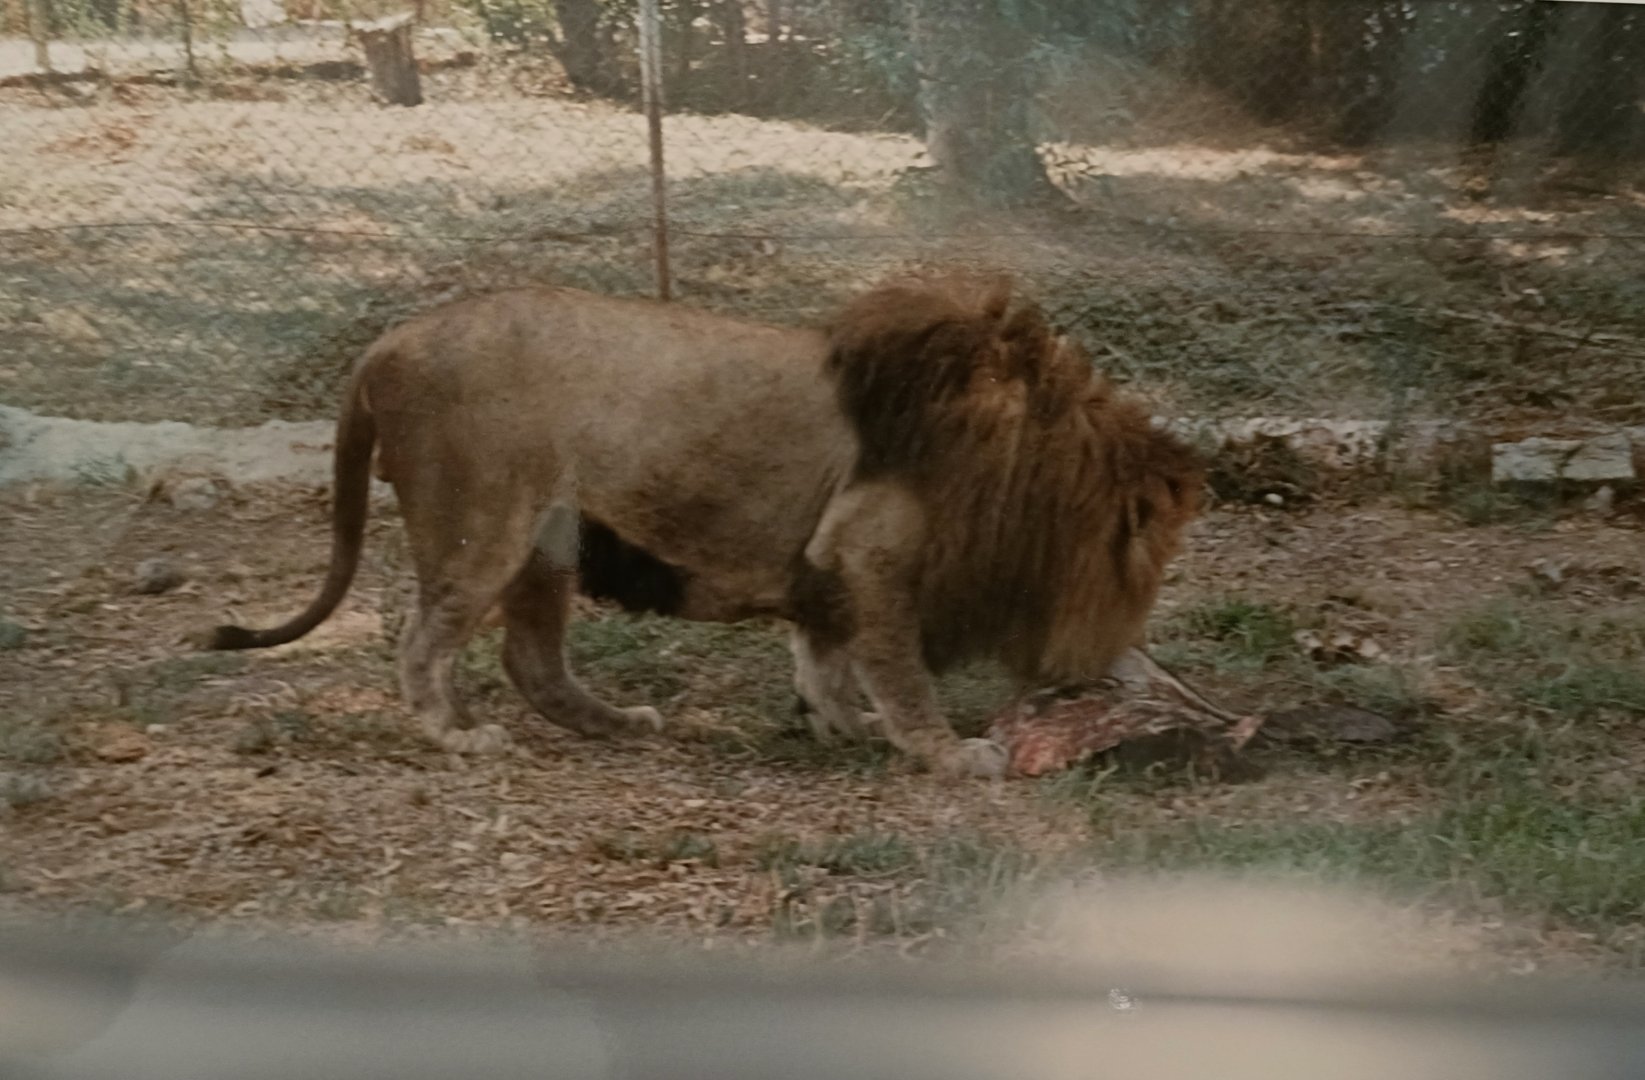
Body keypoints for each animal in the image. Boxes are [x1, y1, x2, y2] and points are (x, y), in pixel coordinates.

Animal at [201, 276, 1203, 778]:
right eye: (1151, 570)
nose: (1138, 662)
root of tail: (387, 340)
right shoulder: (871, 554)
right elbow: (896, 670)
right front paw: (945, 752)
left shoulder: (829, 566)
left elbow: (824, 657)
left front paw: (843, 725)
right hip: (481, 523)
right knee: (421, 640)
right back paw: (454, 737)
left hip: (548, 540)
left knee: (531, 661)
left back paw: (618, 725)